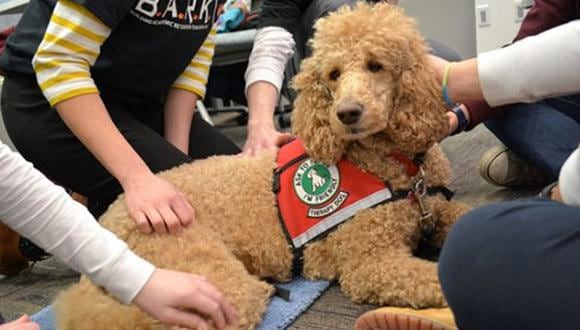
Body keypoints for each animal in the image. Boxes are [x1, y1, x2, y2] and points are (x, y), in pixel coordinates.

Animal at [56, 3, 468, 330]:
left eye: (376, 65)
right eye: (333, 74)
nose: (347, 113)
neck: (392, 164)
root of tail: (112, 214)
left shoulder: (438, 209)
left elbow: (463, 216)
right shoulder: (370, 264)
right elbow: (437, 278)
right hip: (208, 283)